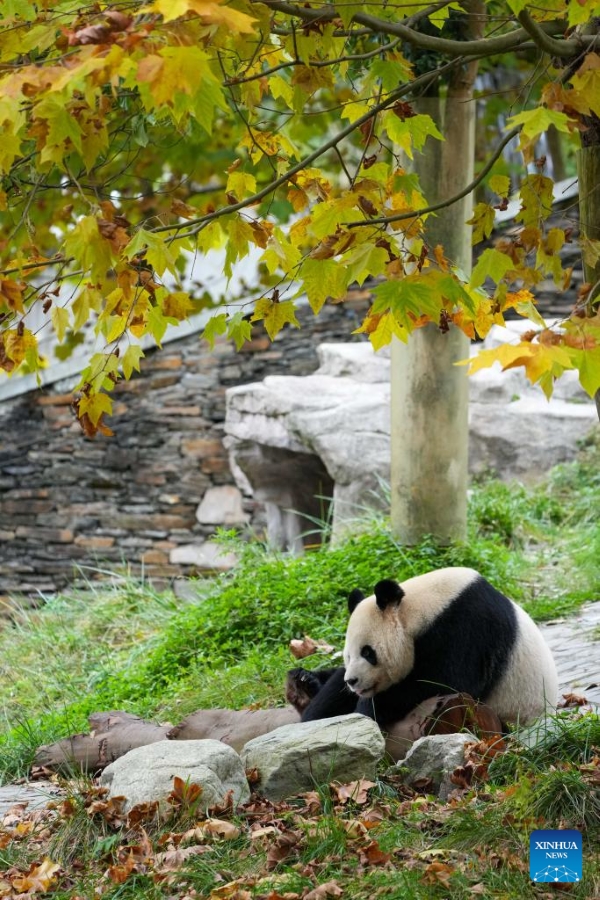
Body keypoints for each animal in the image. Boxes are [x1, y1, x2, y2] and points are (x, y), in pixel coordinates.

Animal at [301, 566, 558, 729]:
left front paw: (365, 711)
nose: (352, 681)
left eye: (367, 652)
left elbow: (441, 681)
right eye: (347, 656)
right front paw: (309, 687)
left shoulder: (465, 629)